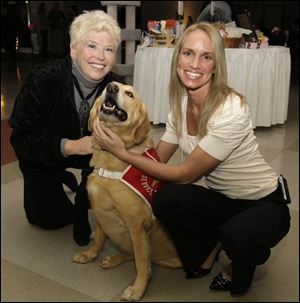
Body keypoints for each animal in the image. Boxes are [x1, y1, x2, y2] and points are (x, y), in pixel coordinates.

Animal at [73, 82, 180, 302]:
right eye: (106, 88)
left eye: (129, 93)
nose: (111, 86)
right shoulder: (100, 211)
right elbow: (98, 239)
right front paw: (89, 254)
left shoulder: (137, 226)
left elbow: (141, 263)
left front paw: (138, 289)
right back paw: (113, 258)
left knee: (145, 259)